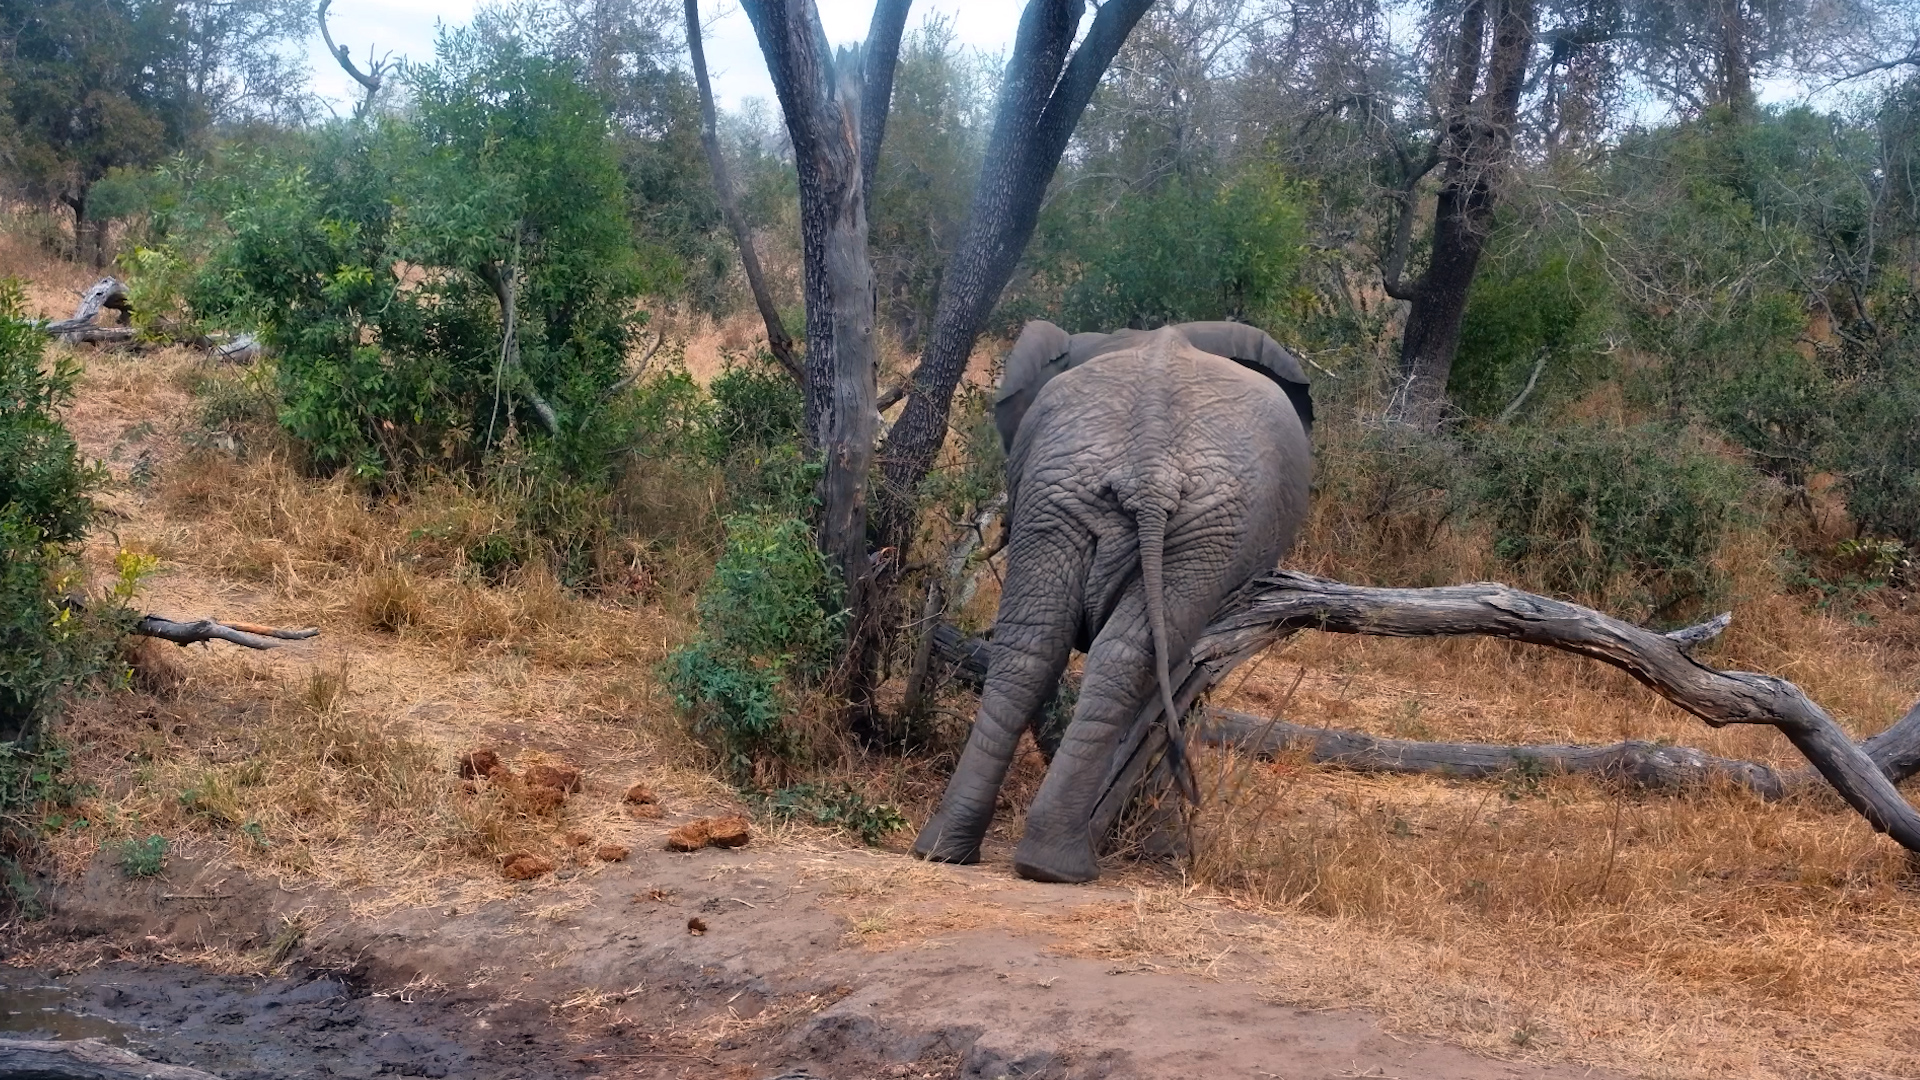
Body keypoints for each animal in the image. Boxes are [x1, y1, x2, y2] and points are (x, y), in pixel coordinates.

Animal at [912, 320, 1314, 884]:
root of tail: (1150, 462)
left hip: (1065, 496)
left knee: (1032, 651)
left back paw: (953, 851)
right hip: (1212, 526)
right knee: (1131, 657)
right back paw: (1062, 866)